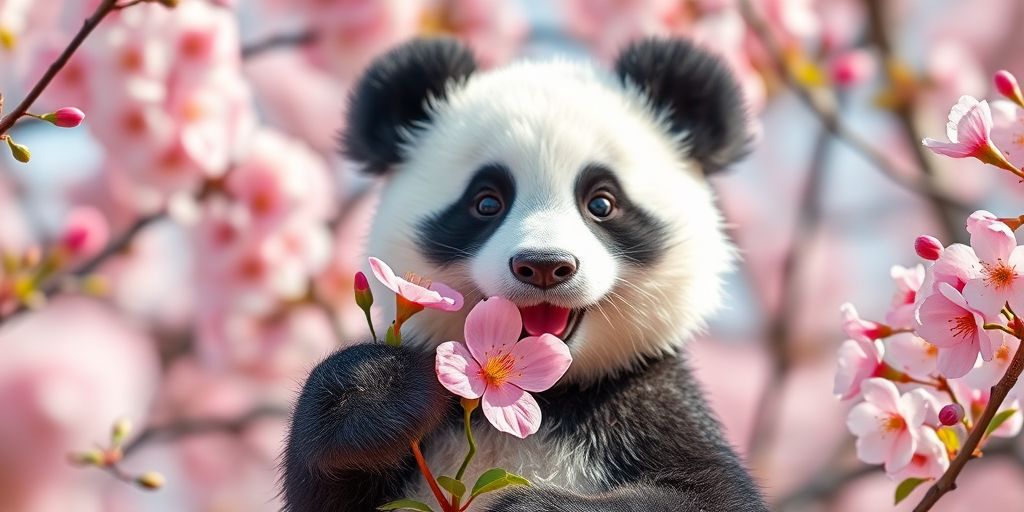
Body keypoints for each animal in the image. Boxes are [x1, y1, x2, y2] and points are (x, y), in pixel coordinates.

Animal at [282, 36, 768, 512]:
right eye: (486, 202)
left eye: (602, 203)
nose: (545, 266)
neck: (545, 397)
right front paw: (381, 389)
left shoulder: (650, 406)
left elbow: (709, 496)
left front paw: (529, 504)